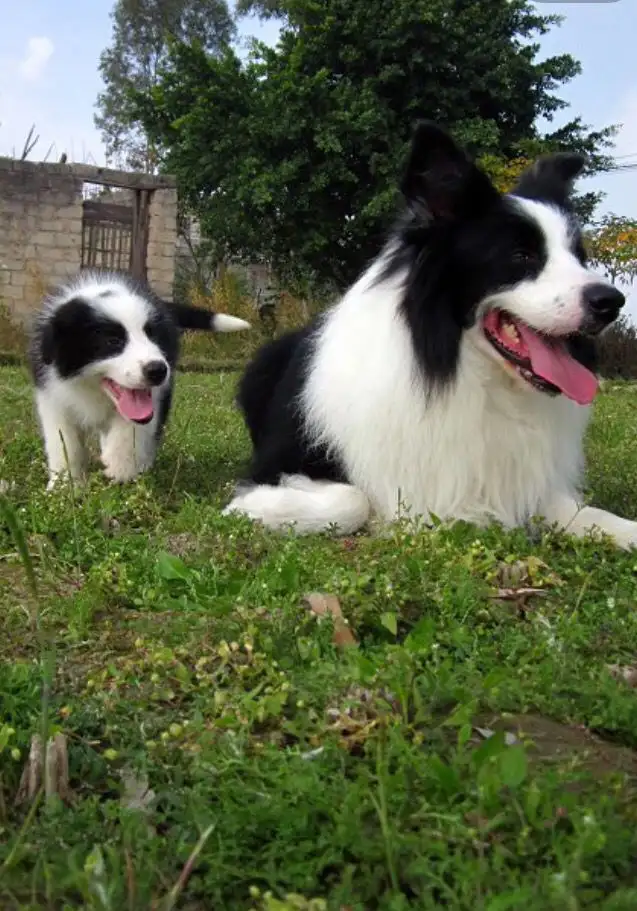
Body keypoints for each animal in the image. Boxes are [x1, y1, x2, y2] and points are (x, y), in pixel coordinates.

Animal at [29, 268, 250, 488]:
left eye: (153, 336)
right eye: (113, 341)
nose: (157, 370)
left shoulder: (154, 397)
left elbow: (133, 427)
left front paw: (120, 469)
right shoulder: (52, 396)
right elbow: (64, 443)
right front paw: (64, 485)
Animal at [224, 120, 636, 548]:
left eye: (580, 258)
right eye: (521, 255)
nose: (611, 302)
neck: (466, 373)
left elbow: (585, 513)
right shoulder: (274, 464)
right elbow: (354, 500)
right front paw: (257, 510)